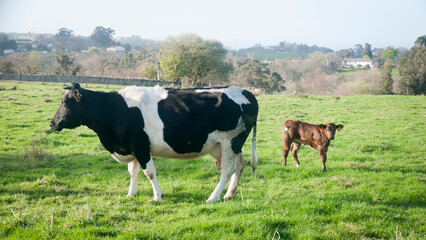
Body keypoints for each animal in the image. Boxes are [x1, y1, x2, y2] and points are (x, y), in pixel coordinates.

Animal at [49, 82, 256, 202]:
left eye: (65, 103)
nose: (52, 123)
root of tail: (245, 91)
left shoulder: (141, 146)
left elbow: (149, 172)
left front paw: (157, 196)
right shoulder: (131, 147)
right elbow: (132, 171)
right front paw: (131, 194)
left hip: (231, 141)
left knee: (227, 170)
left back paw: (213, 197)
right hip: (223, 146)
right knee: (240, 165)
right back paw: (230, 193)